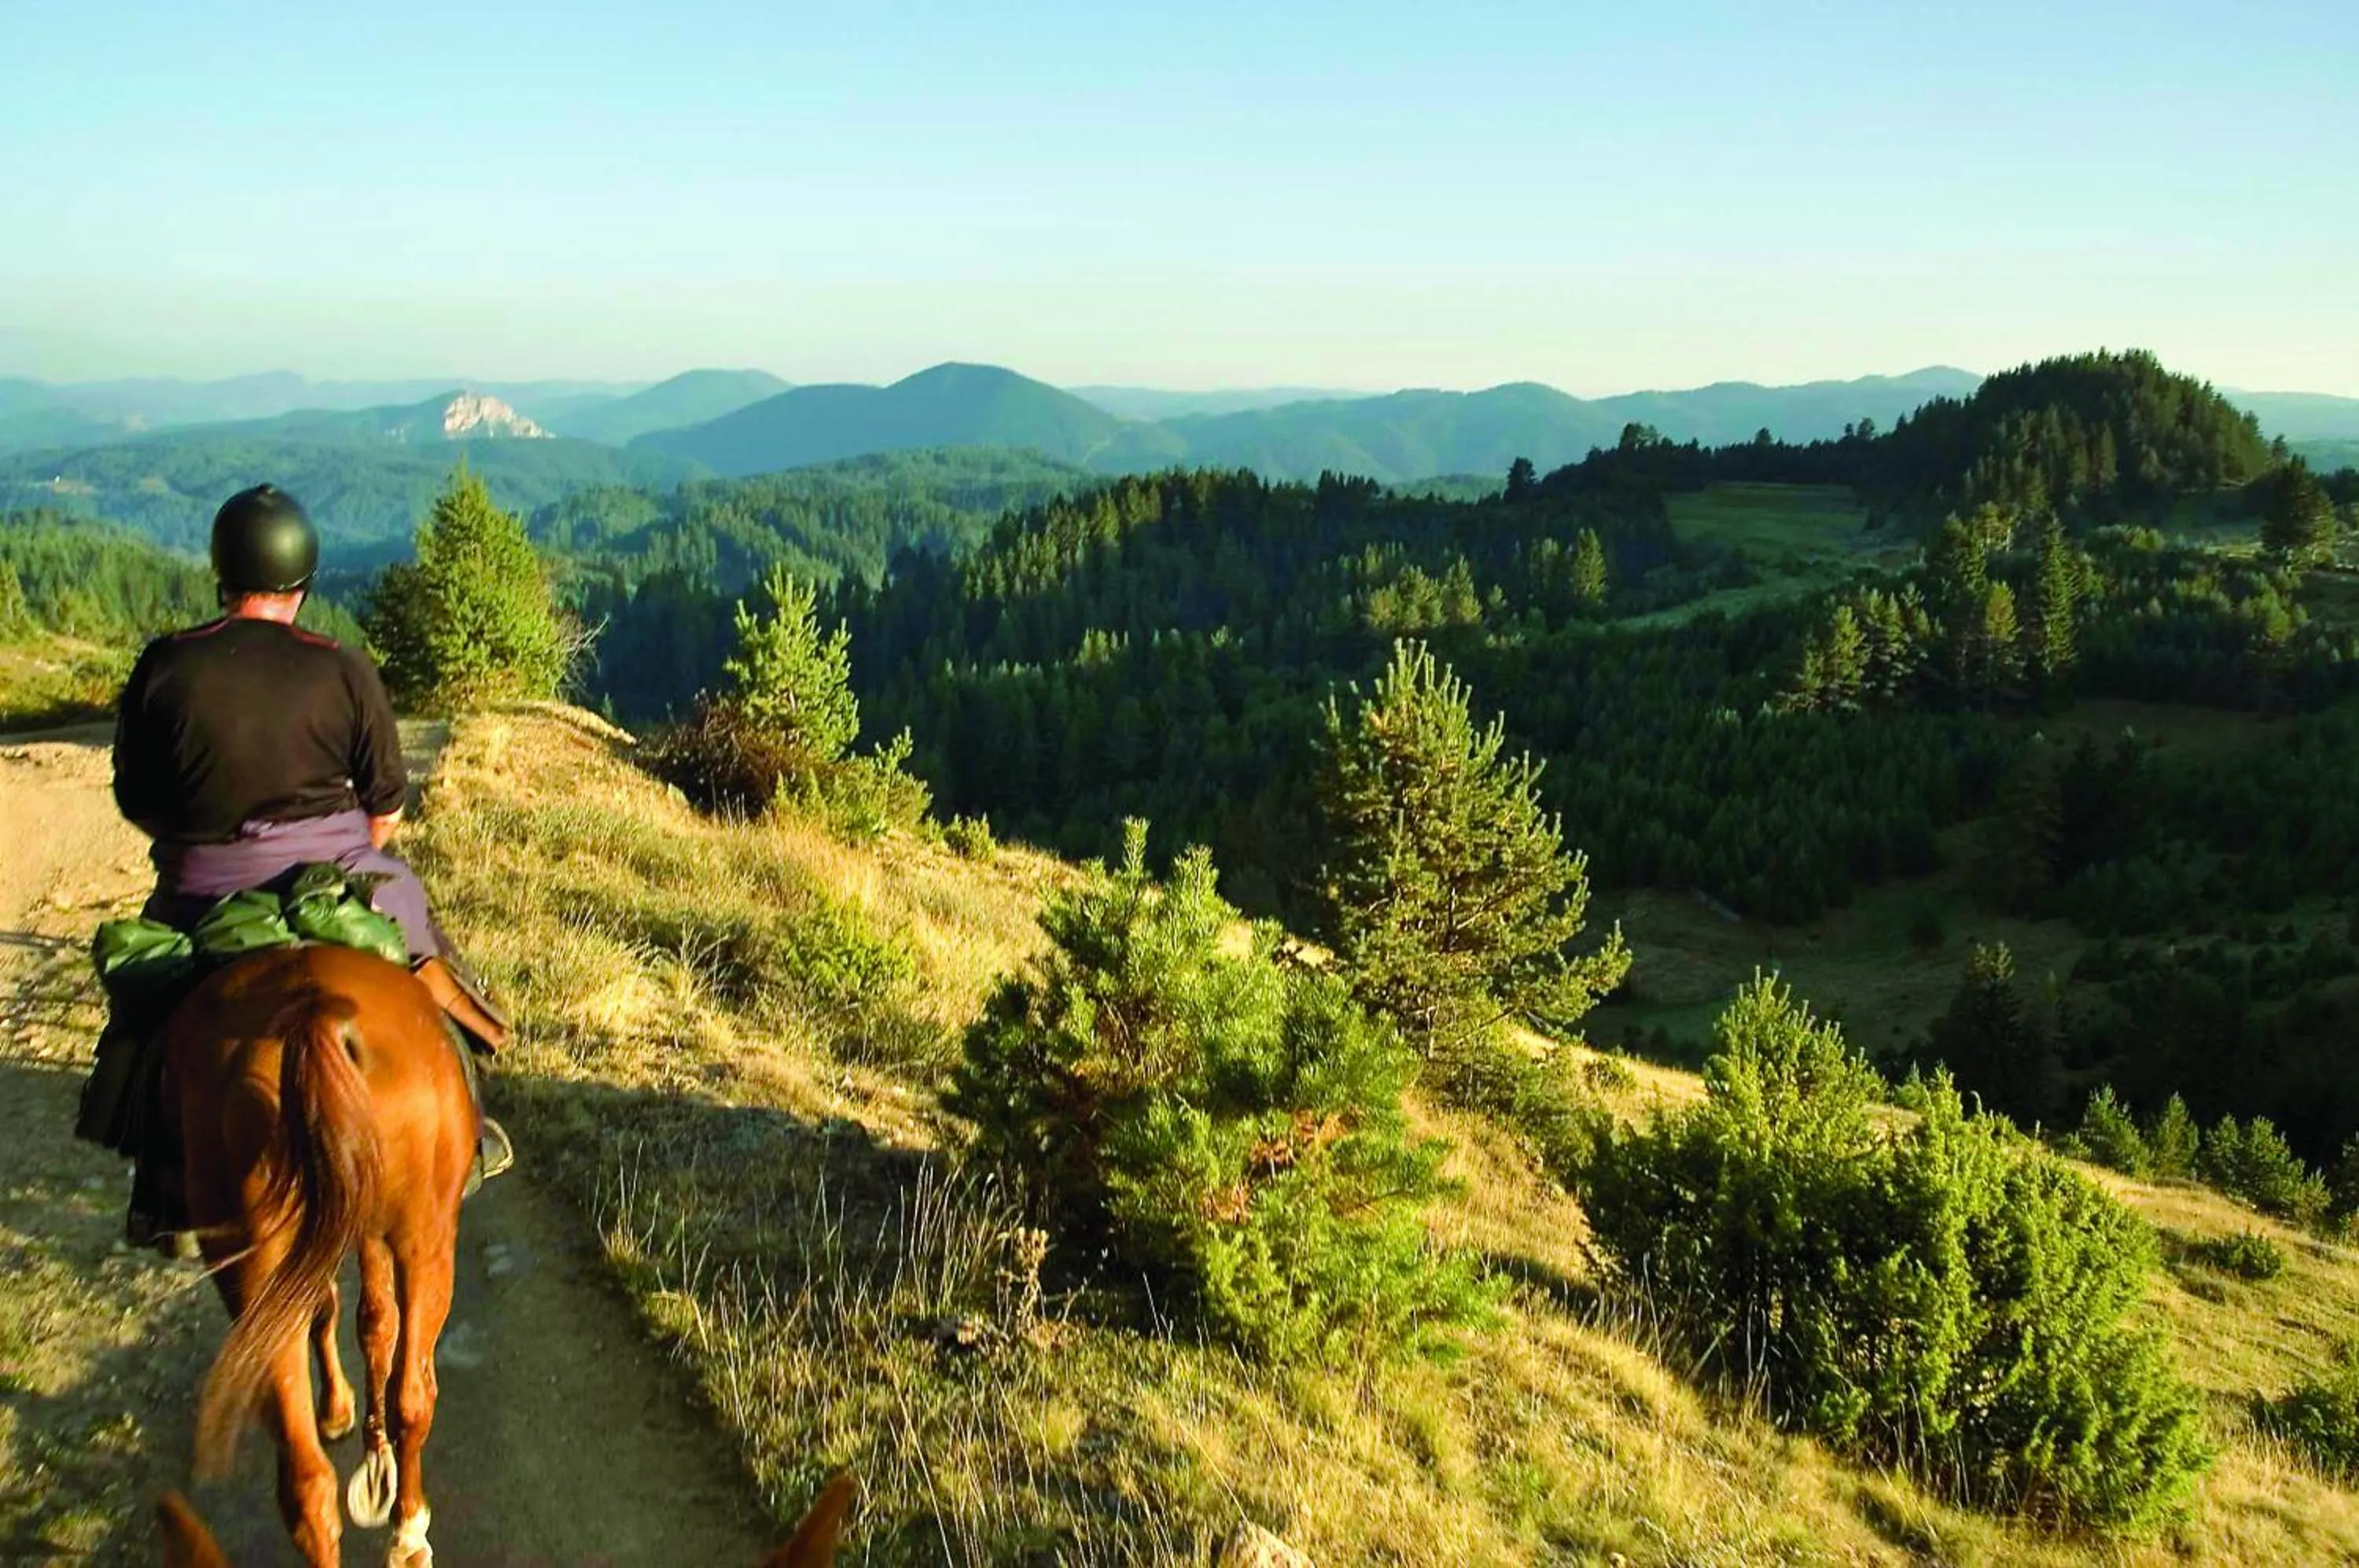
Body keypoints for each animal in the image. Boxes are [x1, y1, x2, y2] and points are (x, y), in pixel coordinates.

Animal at [168, 943, 476, 1567]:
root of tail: (311, 1020)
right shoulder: (372, 1232)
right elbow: (373, 1322)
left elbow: (358, 1316)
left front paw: (344, 1416)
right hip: (426, 1242)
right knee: (413, 1397)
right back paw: (409, 1531)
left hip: (255, 1266)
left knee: (306, 1477)